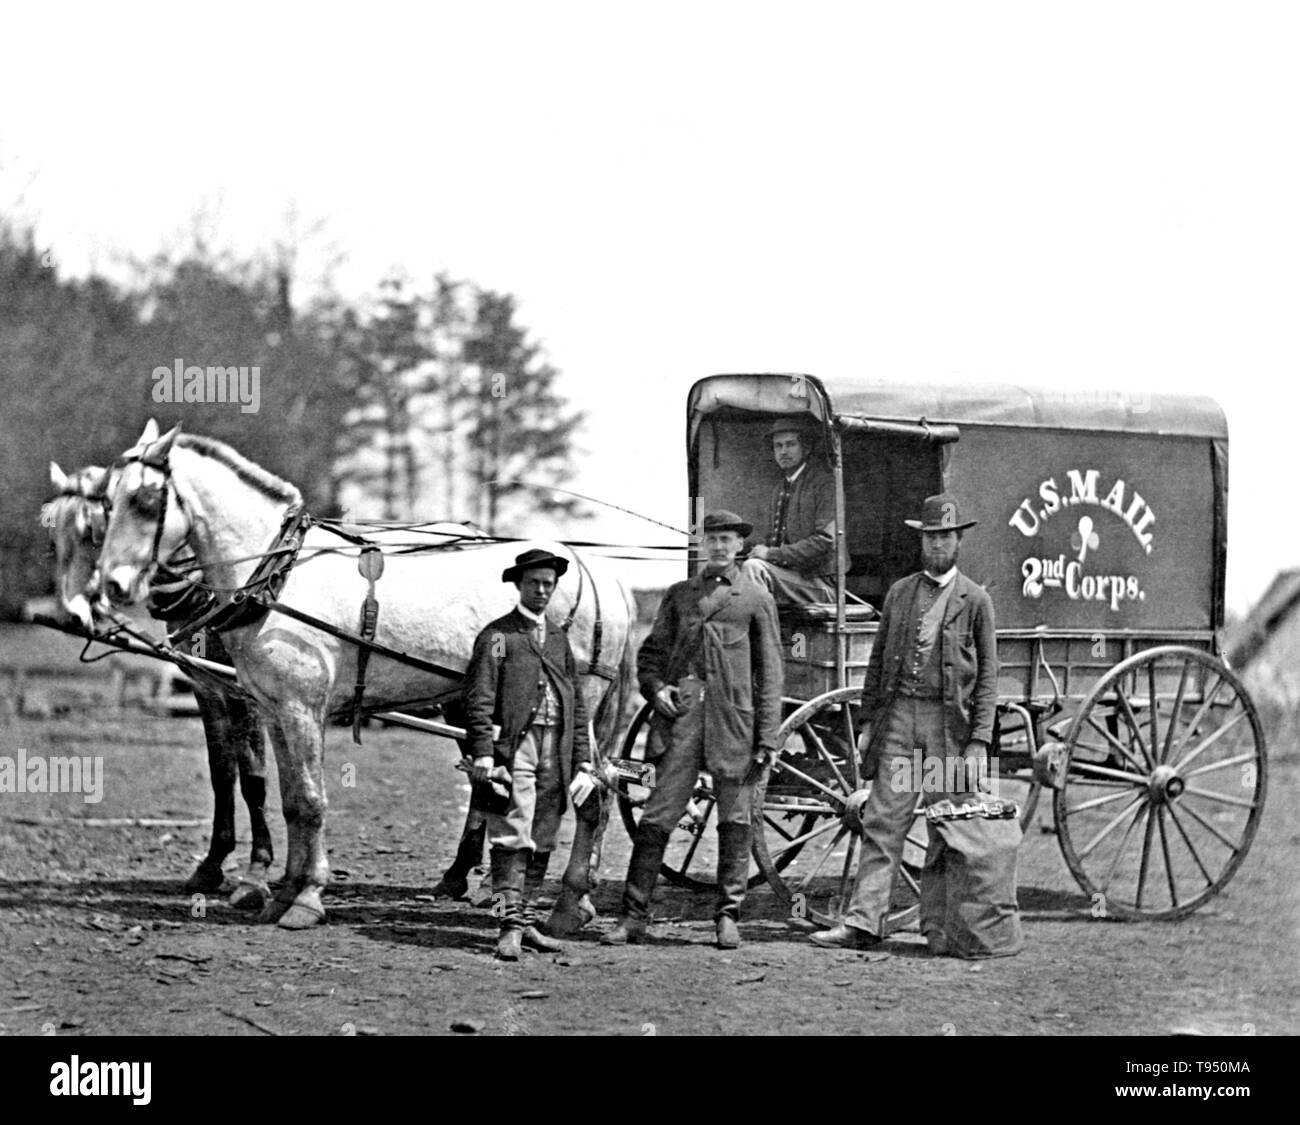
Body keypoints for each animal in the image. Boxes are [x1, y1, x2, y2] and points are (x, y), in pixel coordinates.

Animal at [94, 421, 637, 931]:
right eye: (106, 499)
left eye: (145, 499)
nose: (113, 585)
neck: (277, 574)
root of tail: (601, 574)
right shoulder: (273, 709)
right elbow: (289, 800)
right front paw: (285, 891)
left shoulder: (300, 708)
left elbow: (309, 800)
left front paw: (307, 897)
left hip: (574, 708)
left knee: (594, 793)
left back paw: (568, 903)